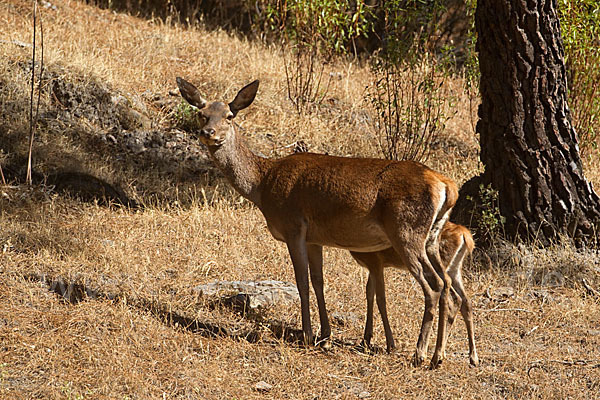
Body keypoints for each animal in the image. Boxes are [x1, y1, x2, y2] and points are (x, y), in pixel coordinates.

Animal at [176, 76, 458, 368]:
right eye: (202, 113)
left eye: (230, 116)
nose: (208, 132)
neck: (263, 184)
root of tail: (446, 186)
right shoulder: (314, 238)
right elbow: (319, 281)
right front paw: (326, 335)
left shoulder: (293, 226)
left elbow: (301, 281)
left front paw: (308, 335)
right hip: (431, 238)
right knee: (448, 285)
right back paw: (438, 356)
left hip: (406, 231)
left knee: (434, 285)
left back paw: (419, 353)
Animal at [352, 222, 478, 366]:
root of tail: (464, 235)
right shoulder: (373, 267)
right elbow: (369, 293)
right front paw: (365, 339)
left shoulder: (375, 262)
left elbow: (380, 299)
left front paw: (389, 344)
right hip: (455, 269)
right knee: (465, 301)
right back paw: (472, 357)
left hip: (443, 263)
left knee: (452, 298)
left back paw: (435, 356)